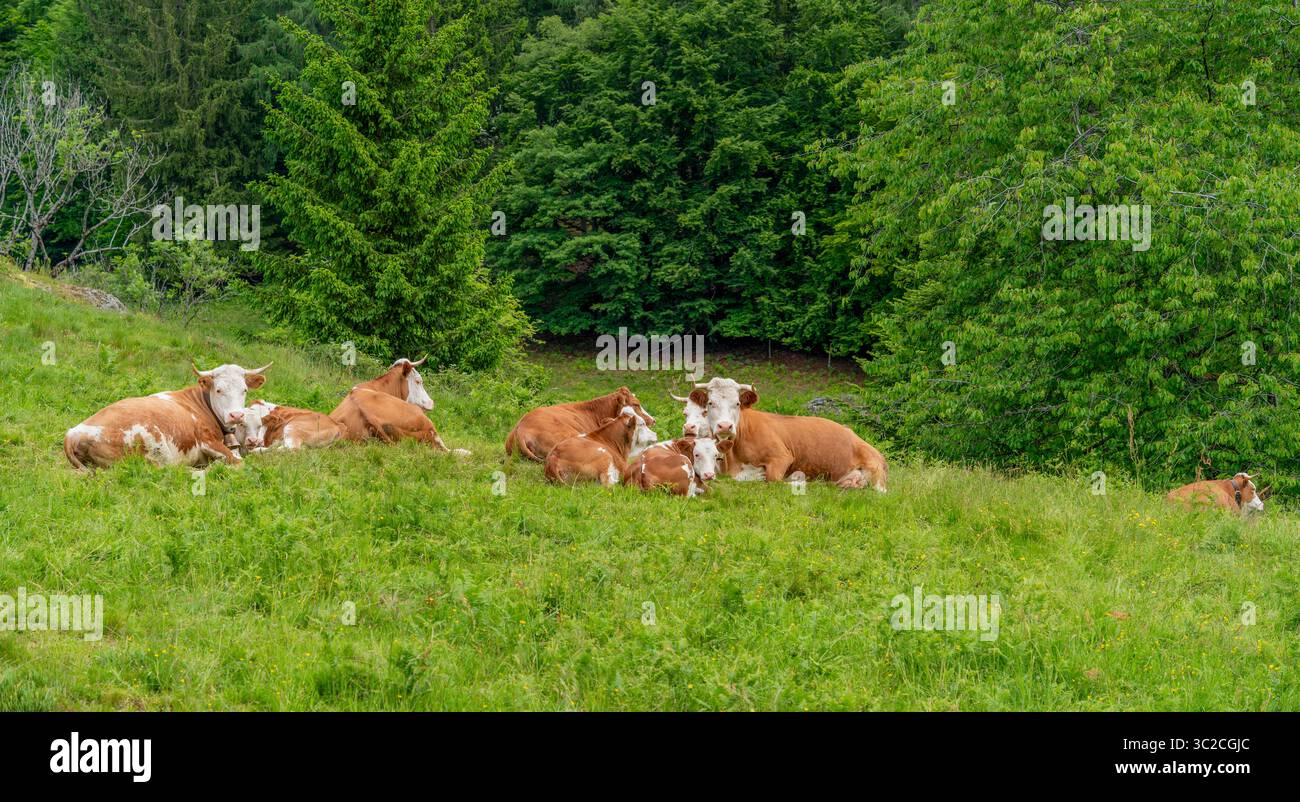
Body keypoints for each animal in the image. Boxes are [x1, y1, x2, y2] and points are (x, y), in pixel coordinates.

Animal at [64, 362, 271, 470]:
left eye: (244, 390)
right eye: (219, 390)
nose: (236, 415)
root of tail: (73, 433)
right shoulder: (207, 441)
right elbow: (240, 462)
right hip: (153, 450)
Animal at [690, 377, 888, 491]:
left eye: (737, 403)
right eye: (710, 403)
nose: (725, 426)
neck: (733, 458)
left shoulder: (781, 456)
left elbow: (772, 479)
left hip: (876, 475)